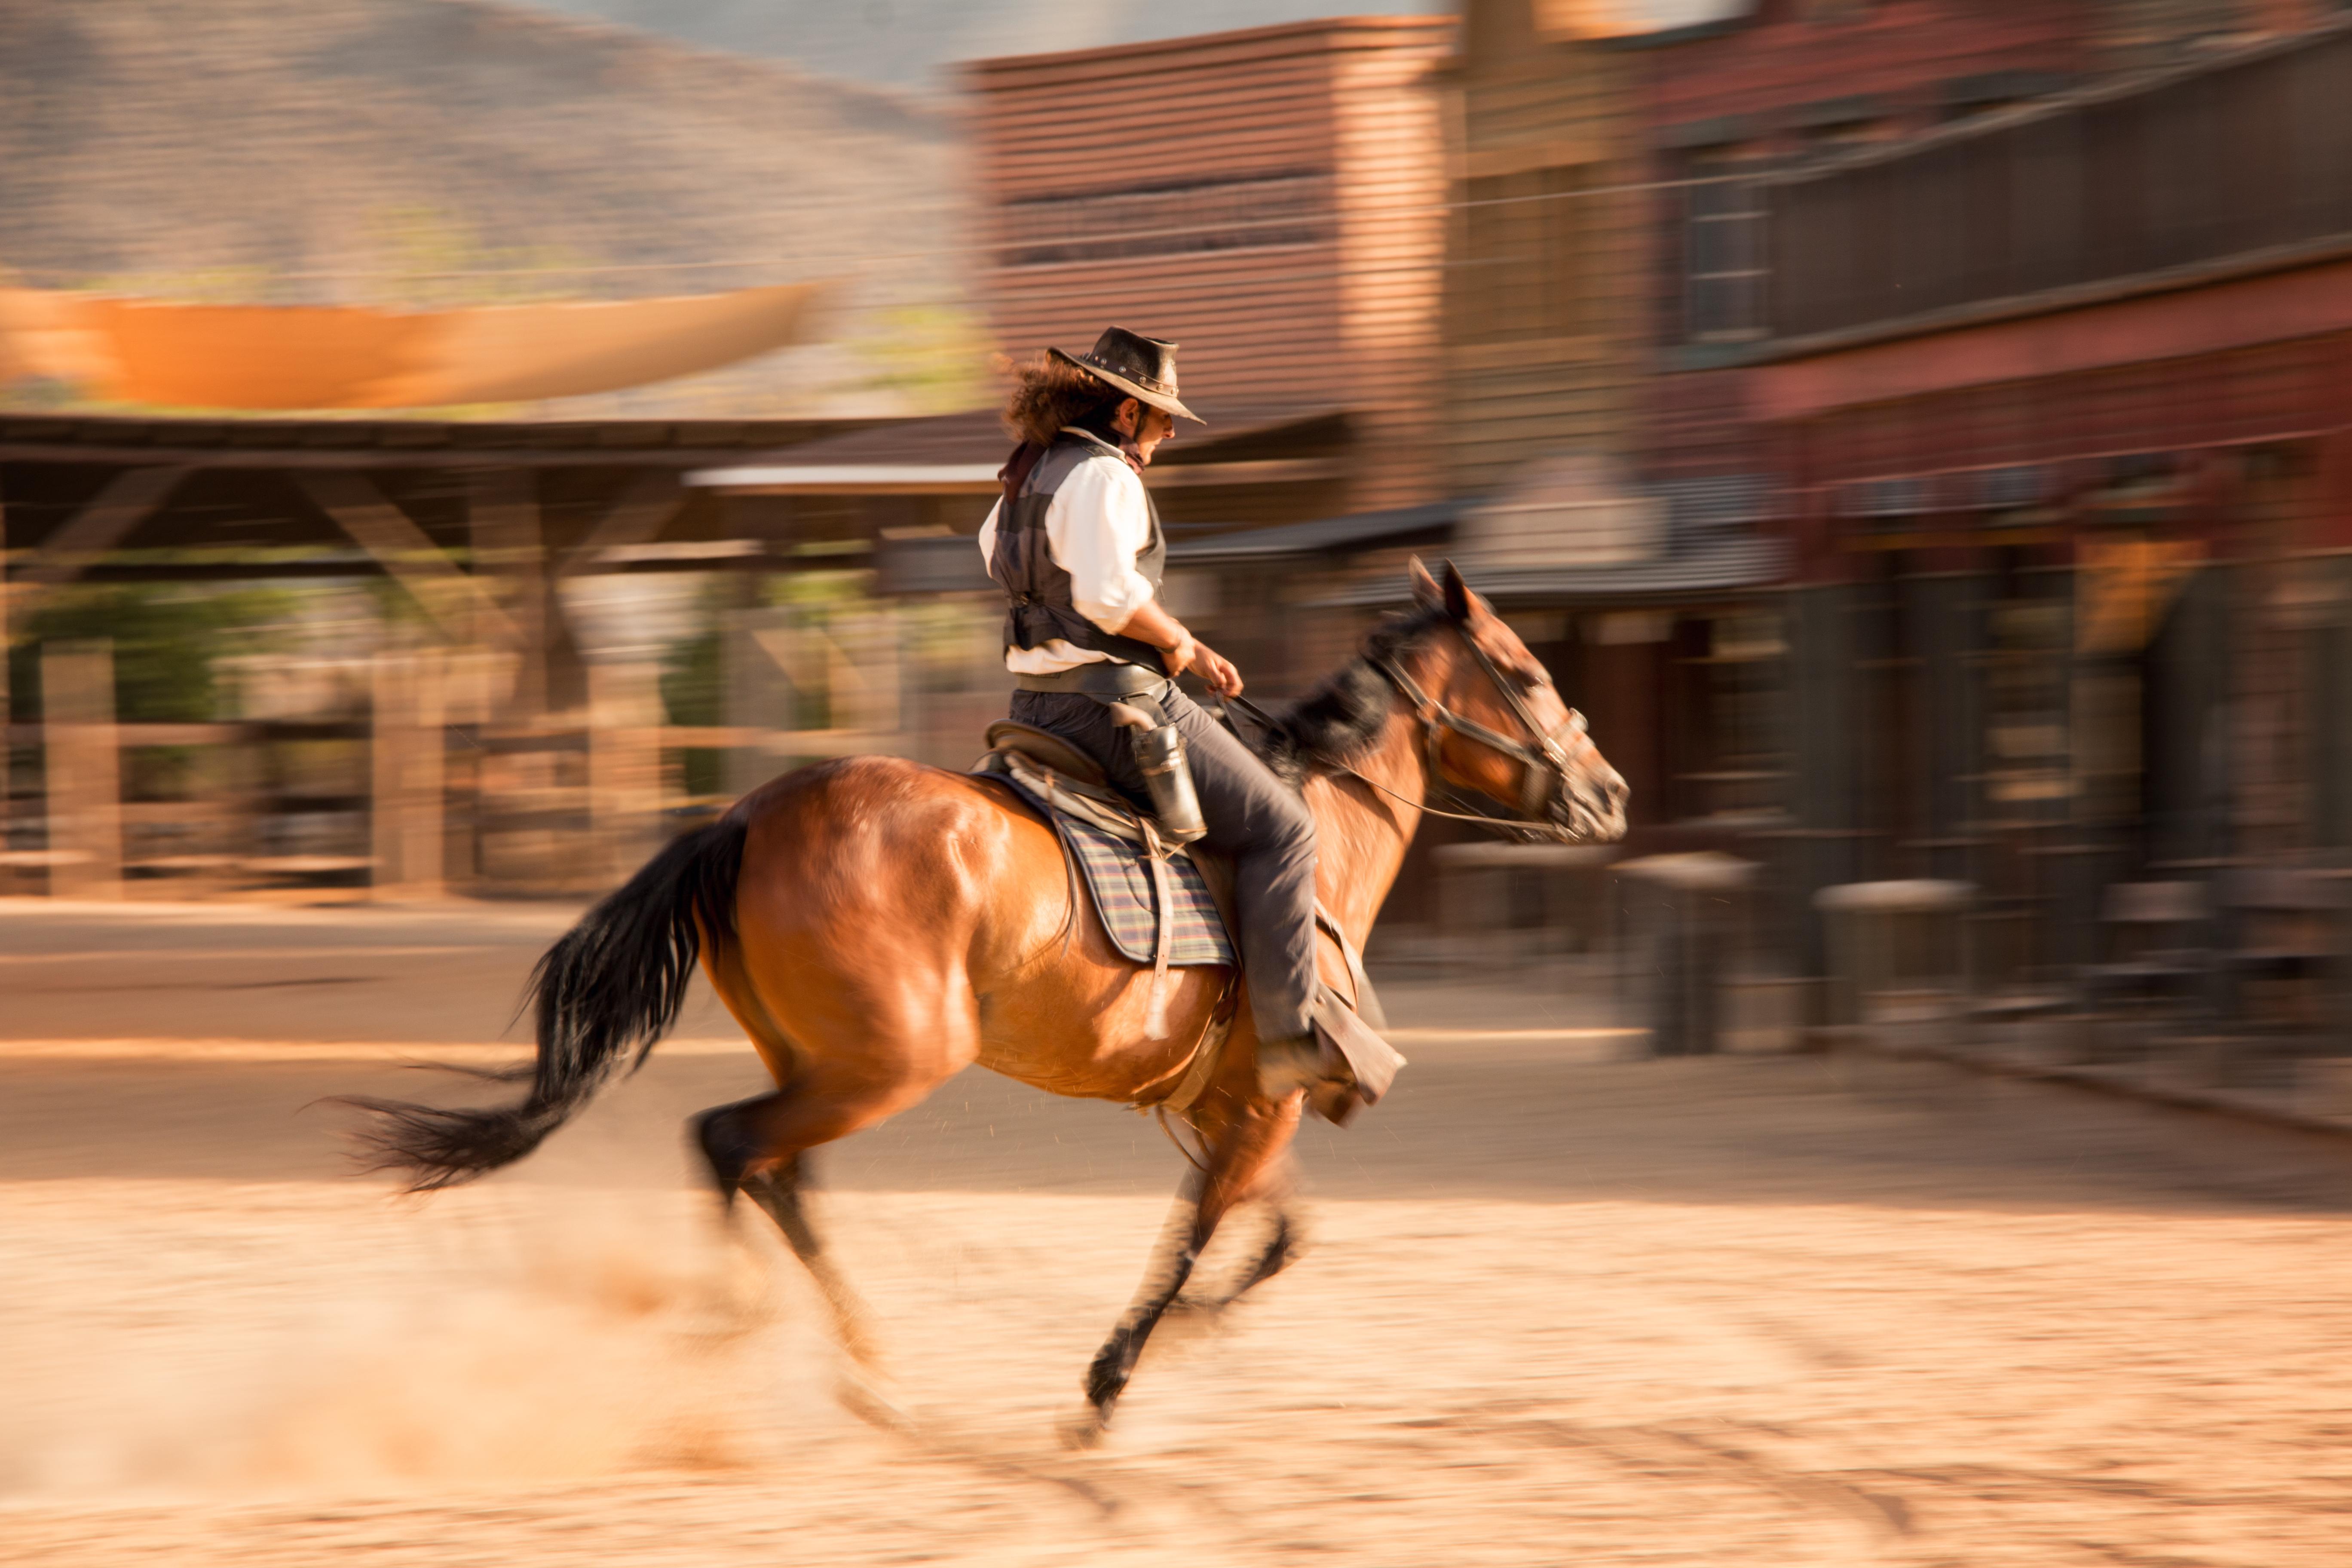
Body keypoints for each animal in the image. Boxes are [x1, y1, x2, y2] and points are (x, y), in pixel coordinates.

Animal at [357, 562, 1627, 1439]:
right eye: (1525, 673)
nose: (1610, 791)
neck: (1315, 835)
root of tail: (749, 816)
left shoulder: (1239, 1110)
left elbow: (1273, 1237)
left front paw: (1175, 1342)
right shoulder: (1261, 1108)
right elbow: (1198, 1243)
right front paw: (1108, 1385)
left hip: (823, 1065)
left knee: (778, 1174)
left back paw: (865, 1371)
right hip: (886, 1064)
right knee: (727, 1145)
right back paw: (743, 1328)